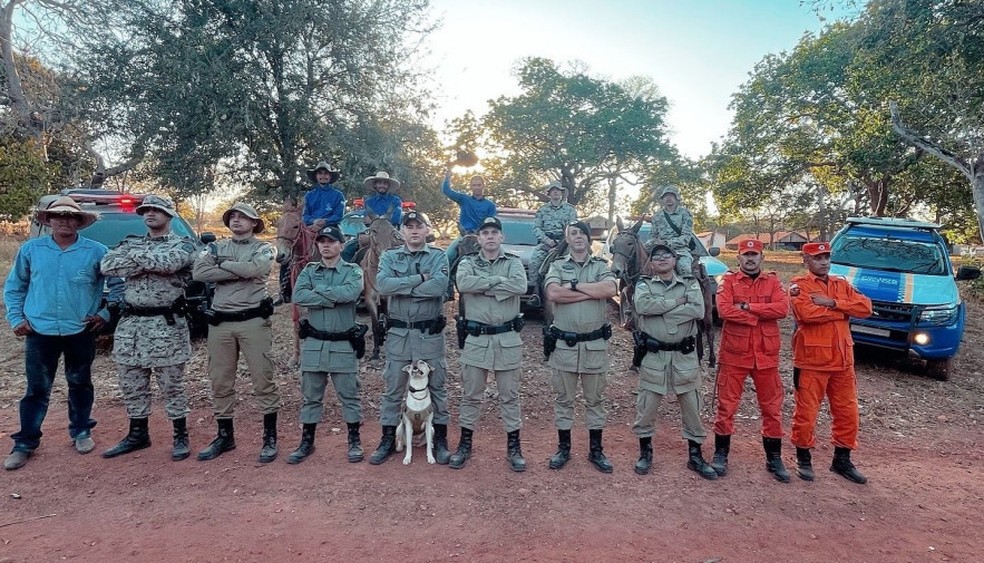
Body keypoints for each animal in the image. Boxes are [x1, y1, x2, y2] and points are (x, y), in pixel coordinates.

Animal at [612, 217, 720, 370]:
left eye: (629, 243)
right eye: (614, 244)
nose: (616, 270)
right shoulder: (636, 311)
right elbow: (638, 332)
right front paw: (635, 362)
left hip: (707, 308)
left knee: (709, 331)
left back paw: (711, 360)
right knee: (698, 330)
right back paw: (698, 356)